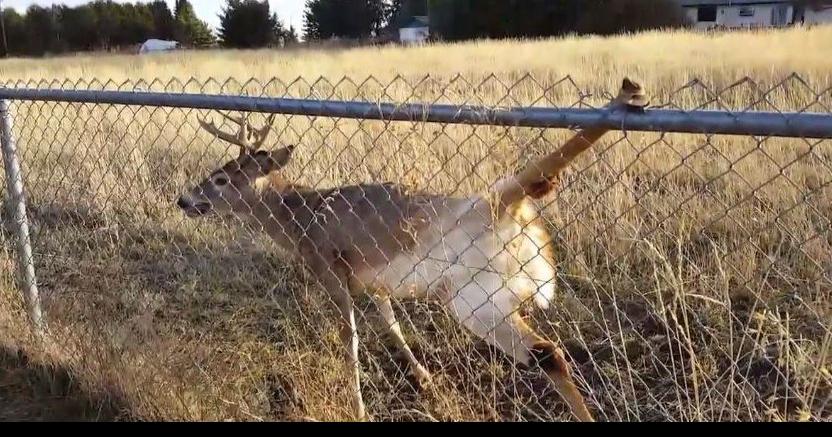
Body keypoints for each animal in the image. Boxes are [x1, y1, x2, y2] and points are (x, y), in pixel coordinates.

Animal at [176, 78, 648, 422]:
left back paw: (625, 95)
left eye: (220, 179)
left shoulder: (329, 268)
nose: (184, 201)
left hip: (477, 273)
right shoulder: (376, 281)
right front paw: (424, 377)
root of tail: (515, 218)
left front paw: (359, 408)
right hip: (480, 295)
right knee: (548, 350)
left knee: (546, 347)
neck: (297, 219)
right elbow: (393, 327)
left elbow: (350, 339)